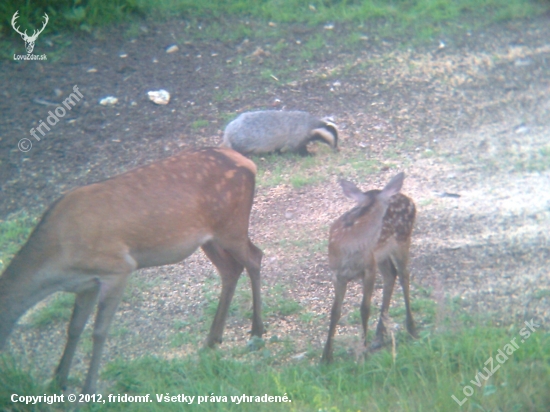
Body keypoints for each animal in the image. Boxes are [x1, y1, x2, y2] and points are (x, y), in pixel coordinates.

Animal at [0, 147, 266, 392]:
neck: (56, 265)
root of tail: (249, 163)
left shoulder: (118, 268)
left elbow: (99, 331)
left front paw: (88, 390)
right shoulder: (85, 284)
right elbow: (74, 328)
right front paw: (58, 381)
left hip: (231, 226)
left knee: (255, 258)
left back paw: (256, 332)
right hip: (209, 237)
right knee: (231, 269)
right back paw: (212, 339)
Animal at [324, 172, 418, 362]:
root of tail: (407, 198)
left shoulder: (368, 268)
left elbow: (364, 309)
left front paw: (363, 350)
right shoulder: (337, 274)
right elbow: (335, 311)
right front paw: (326, 356)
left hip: (402, 240)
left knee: (404, 276)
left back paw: (411, 328)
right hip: (381, 255)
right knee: (391, 275)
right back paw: (379, 336)